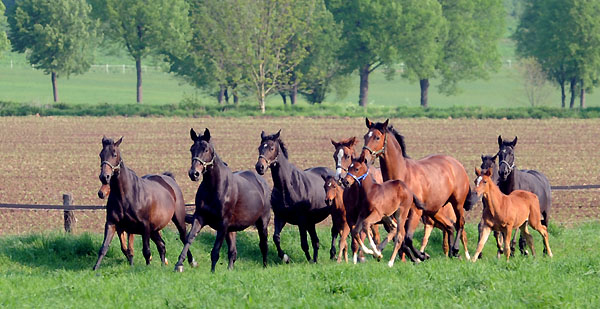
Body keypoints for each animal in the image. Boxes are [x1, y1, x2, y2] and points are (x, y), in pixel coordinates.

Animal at [92, 136, 193, 268]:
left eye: (114, 154)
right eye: (101, 154)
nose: (104, 177)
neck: (126, 196)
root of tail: (169, 180)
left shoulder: (144, 226)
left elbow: (146, 251)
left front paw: (146, 267)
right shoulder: (112, 224)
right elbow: (105, 248)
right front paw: (95, 268)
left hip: (177, 220)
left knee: (183, 237)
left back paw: (190, 262)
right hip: (154, 229)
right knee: (162, 245)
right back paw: (163, 266)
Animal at [173, 128, 270, 272]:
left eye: (206, 149)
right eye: (192, 149)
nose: (194, 174)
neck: (214, 188)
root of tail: (263, 183)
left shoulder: (222, 224)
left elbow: (215, 250)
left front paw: (212, 272)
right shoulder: (200, 217)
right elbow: (189, 239)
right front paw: (179, 264)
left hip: (262, 223)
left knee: (263, 245)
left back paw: (264, 266)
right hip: (232, 229)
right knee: (233, 252)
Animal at [255, 129, 336, 262]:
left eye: (272, 148)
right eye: (259, 148)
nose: (260, 167)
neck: (286, 187)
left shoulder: (301, 220)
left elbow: (304, 243)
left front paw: (309, 260)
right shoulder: (280, 217)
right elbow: (276, 237)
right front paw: (285, 257)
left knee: (334, 231)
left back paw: (332, 254)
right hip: (311, 222)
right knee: (316, 241)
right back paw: (316, 259)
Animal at [358, 119, 476, 258]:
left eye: (377, 137)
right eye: (365, 136)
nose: (364, 159)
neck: (402, 175)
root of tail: (457, 164)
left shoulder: (415, 211)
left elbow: (408, 238)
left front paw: (421, 256)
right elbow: (400, 236)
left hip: (457, 203)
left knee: (460, 223)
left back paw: (456, 250)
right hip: (434, 209)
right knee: (450, 226)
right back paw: (452, 252)